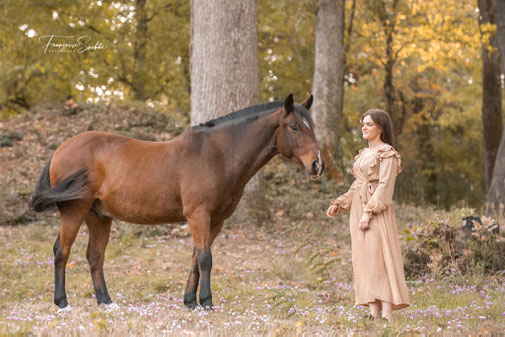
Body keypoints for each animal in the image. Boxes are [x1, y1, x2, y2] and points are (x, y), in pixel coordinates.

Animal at [30, 92, 322, 310]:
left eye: (312, 127)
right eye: (294, 126)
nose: (317, 165)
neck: (216, 155)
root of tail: (59, 149)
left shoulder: (214, 221)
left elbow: (196, 259)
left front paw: (190, 302)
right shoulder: (198, 215)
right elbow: (206, 259)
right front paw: (206, 303)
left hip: (98, 216)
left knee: (95, 256)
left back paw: (106, 302)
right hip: (75, 211)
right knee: (61, 251)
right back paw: (62, 303)